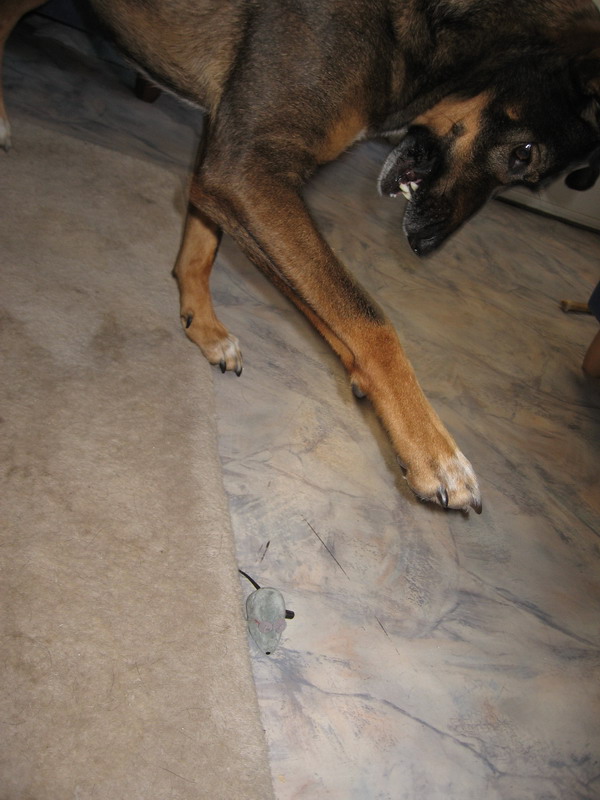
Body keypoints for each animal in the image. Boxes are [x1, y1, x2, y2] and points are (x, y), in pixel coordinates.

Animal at [2, 0, 600, 512]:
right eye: (524, 154)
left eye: (530, 176)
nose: (427, 246)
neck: (435, 28)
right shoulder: (247, 171)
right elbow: (369, 316)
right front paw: (434, 449)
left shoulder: (227, 168)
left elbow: (212, 246)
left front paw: (204, 323)